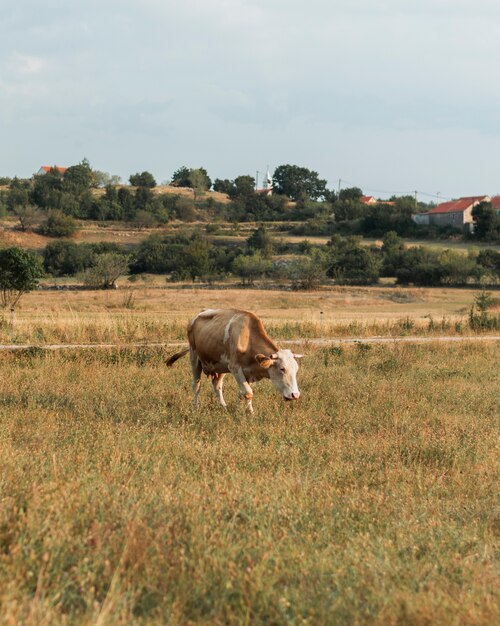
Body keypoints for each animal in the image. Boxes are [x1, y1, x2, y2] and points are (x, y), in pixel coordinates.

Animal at [166, 308, 302, 414]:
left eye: (296, 370)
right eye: (282, 369)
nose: (295, 395)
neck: (247, 339)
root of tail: (198, 315)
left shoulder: (249, 373)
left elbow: (242, 393)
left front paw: (237, 410)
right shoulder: (235, 368)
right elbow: (248, 392)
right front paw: (251, 413)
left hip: (220, 367)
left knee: (217, 386)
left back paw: (223, 406)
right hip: (195, 358)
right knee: (196, 386)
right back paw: (195, 407)